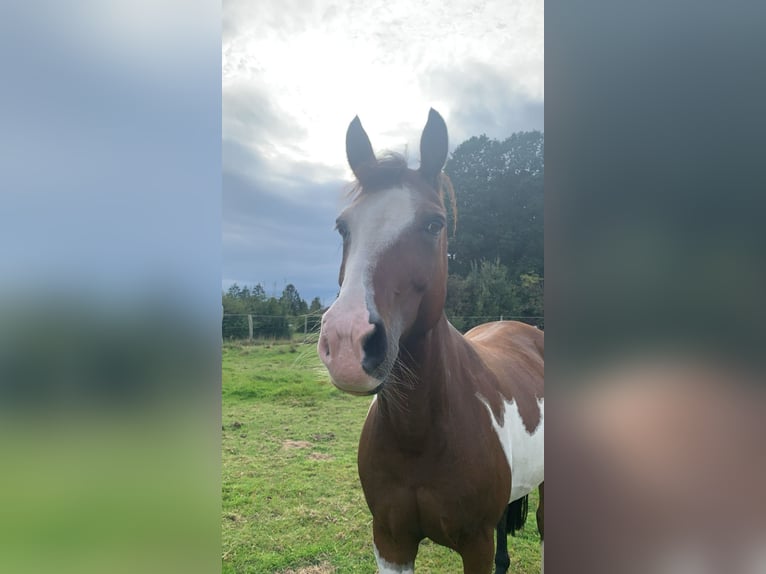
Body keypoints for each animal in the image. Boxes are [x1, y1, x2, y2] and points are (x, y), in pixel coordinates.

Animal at [318, 109, 544, 574]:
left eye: (434, 223)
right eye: (343, 226)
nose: (348, 341)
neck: (419, 432)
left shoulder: (474, 544)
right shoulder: (391, 541)